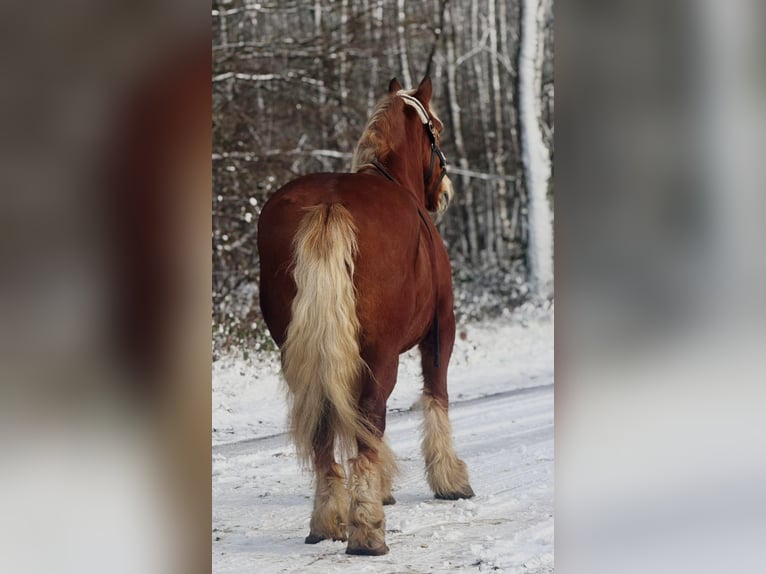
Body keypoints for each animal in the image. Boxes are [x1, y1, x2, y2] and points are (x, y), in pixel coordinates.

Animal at [257, 76, 474, 556]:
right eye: (437, 128)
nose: (445, 192)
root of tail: (328, 206)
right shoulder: (440, 329)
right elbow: (436, 394)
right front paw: (449, 478)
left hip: (300, 353)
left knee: (325, 425)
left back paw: (328, 518)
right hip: (381, 351)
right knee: (370, 413)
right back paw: (367, 527)